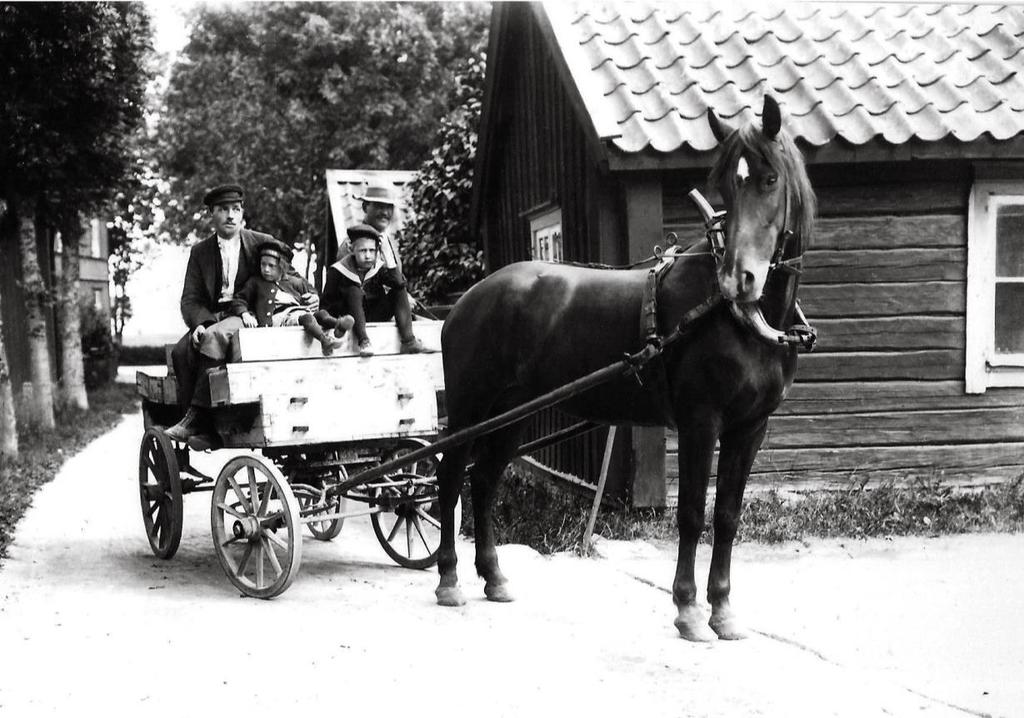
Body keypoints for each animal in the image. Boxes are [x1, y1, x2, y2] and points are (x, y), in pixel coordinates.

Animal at [432, 93, 815, 639]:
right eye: (724, 183)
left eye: (769, 179)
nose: (737, 279)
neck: (741, 318)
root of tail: (468, 299)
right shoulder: (700, 423)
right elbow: (692, 514)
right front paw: (688, 610)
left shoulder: (750, 427)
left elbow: (727, 515)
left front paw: (723, 610)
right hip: (471, 409)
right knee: (449, 477)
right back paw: (448, 579)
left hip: (513, 414)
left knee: (483, 481)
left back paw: (494, 577)